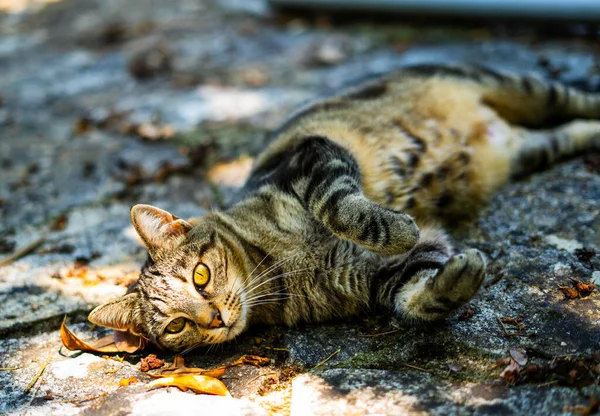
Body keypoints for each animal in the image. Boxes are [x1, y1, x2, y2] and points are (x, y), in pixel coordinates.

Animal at [88, 64, 600, 352]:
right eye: (176, 326)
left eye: (200, 275)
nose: (214, 320)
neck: (279, 270)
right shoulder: (375, 276)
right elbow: (416, 297)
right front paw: (455, 278)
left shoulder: (312, 157)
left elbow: (341, 207)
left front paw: (400, 226)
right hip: (532, 148)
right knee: (571, 130)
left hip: (525, 89)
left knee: (578, 99)